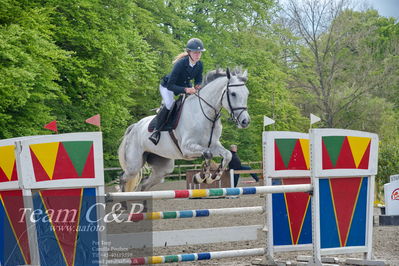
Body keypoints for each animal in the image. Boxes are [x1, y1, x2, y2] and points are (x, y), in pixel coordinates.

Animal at [117, 67, 252, 192]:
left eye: (247, 94)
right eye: (233, 94)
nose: (245, 121)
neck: (205, 115)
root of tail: (135, 126)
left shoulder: (213, 144)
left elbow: (227, 155)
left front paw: (211, 177)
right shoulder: (187, 148)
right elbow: (207, 154)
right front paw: (200, 177)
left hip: (163, 167)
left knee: (144, 185)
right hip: (134, 164)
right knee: (123, 179)